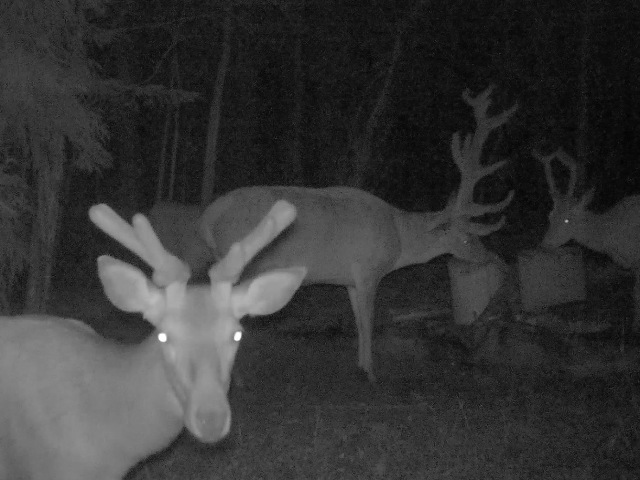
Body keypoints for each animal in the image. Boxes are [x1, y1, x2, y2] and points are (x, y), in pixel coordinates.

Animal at [167, 87, 517, 382]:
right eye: (468, 237)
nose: (493, 259)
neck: (399, 240)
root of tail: (207, 218)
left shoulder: (349, 280)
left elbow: (358, 320)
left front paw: (361, 365)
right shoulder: (369, 270)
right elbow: (368, 321)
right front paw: (372, 373)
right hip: (241, 263)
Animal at [534, 147, 640, 332]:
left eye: (567, 220)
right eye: (550, 215)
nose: (544, 244)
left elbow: (636, 293)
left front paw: (635, 328)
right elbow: (634, 294)